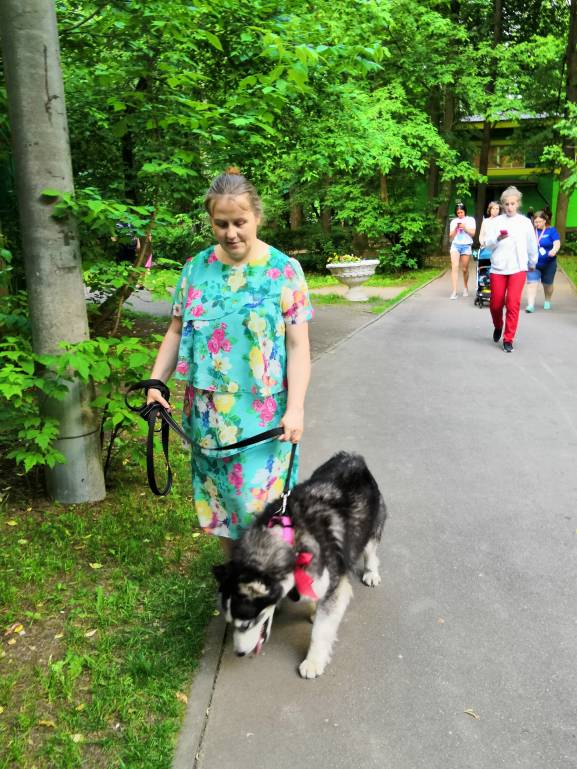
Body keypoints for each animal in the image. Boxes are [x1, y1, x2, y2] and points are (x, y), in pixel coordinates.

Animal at [213, 451, 387, 679]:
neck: (285, 539)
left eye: (248, 624)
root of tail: (352, 457)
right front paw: (313, 609)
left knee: (371, 548)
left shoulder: (335, 586)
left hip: (372, 523)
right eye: (230, 623)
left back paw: (371, 571)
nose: (239, 653)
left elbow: (321, 631)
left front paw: (313, 662)